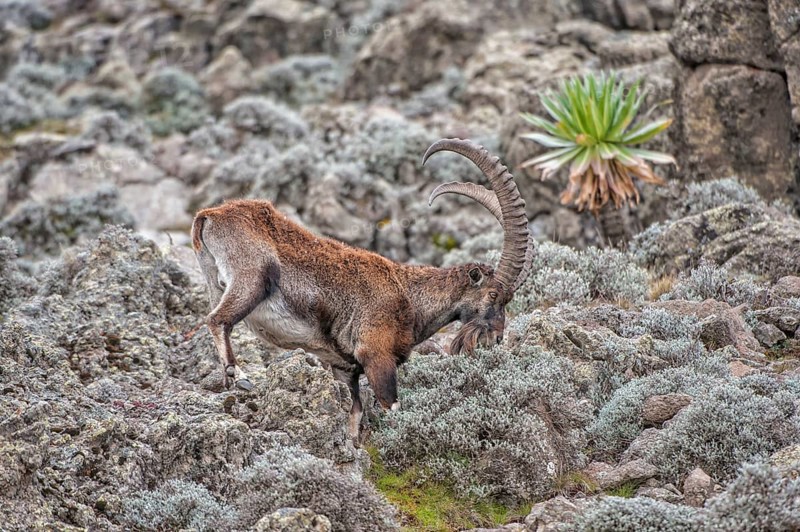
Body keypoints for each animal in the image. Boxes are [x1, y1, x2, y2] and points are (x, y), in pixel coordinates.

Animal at [191, 139, 532, 437]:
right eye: (493, 295)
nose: (497, 338)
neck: (410, 295)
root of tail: (209, 215)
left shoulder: (346, 367)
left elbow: (355, 415)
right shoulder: (375, 354)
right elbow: (391, 405)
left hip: (215, 280)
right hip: (252, 277)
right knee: (218, 319)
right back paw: (241, 378)